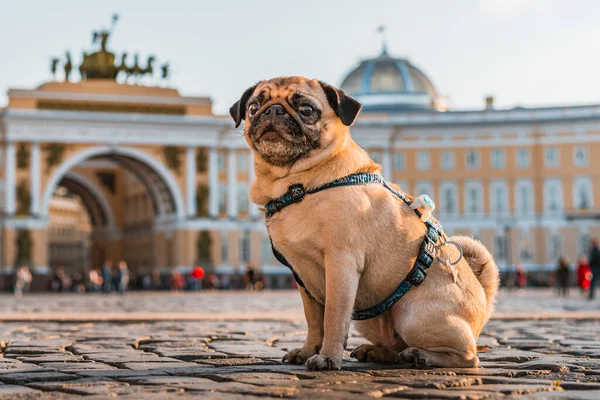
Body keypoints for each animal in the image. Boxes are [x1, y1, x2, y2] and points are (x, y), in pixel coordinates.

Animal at [231, 76, 502, 370]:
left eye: (306, 110)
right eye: (253, 107)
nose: (273, 110)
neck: (298, 184)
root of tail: (483, 303)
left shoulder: (341, 264)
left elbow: (334, 318)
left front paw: (327, 357)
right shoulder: (303, 279)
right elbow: (314, 322)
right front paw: (306, 351)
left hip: (411, 314)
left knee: (469, 356)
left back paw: (422, 356)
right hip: (374, 321)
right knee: (395, 345)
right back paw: (380, 352)